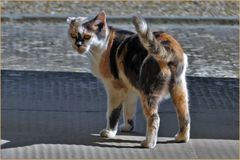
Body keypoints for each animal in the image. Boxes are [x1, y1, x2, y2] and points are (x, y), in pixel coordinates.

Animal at [66, 10, 190, 149]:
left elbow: (112, 113)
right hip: (179, 91)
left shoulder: (115, 89)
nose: (77, 45)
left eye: (87, 36)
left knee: (154, 118)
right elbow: (128, 111)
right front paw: (127, 127)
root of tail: (169, 47)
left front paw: (109, 132)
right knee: (184, 115)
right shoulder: (130, 89)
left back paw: (148, 143)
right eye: (73, 35)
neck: (104, 46)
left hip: (147, 92)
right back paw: (181, 138)